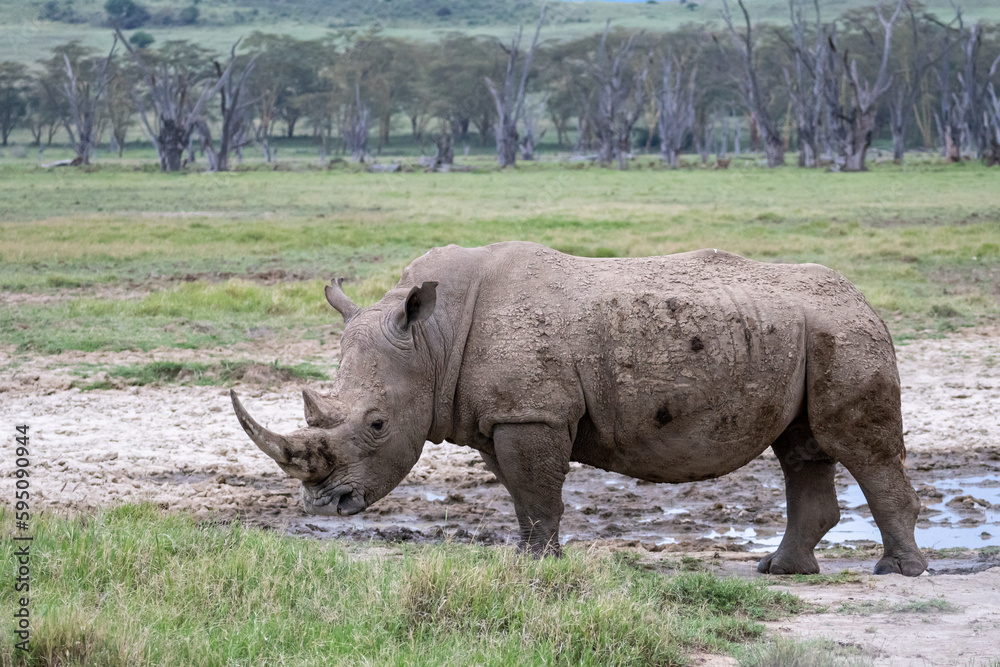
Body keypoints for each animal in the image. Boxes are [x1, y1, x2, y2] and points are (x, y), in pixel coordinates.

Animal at [231, 242, 927, 576]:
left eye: (377, 425)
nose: (326, 506)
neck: (432, 339)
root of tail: (865, 300)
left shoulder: (531, 413)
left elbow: (538, 491)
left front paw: (537, 565)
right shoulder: (503, 415)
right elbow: (521, 492)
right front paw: (527, 558)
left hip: (845, 329)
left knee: (858, 448)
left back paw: (898, 572)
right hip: (803, 331)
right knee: (801, 449)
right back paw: (782, 571)